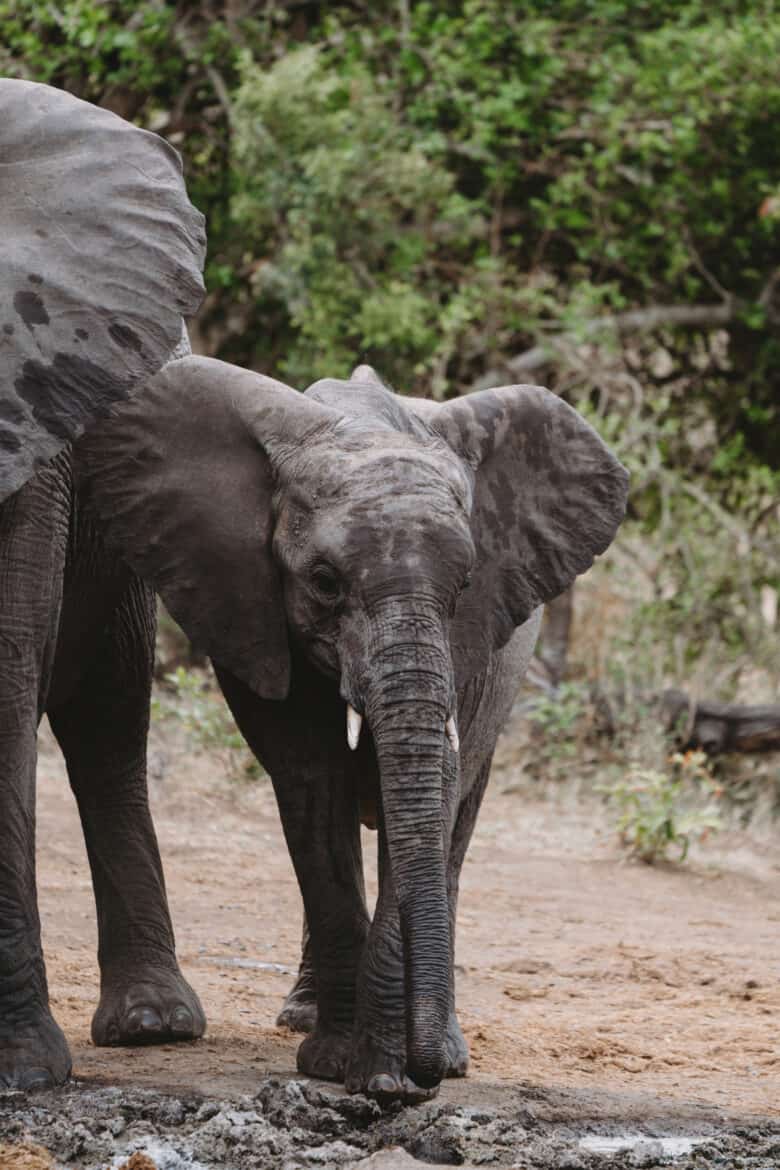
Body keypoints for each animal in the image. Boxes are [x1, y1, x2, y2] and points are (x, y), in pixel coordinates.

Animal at [79, 355, 626, 1095]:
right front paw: (344, 1067)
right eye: (324, 580)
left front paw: (388, 1075)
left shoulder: (476, 643)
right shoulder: (254, 612)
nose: (422, 1076)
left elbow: (436, 789)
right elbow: (313, 790)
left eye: (464, 585)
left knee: (460, 824)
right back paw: (306, 1019)